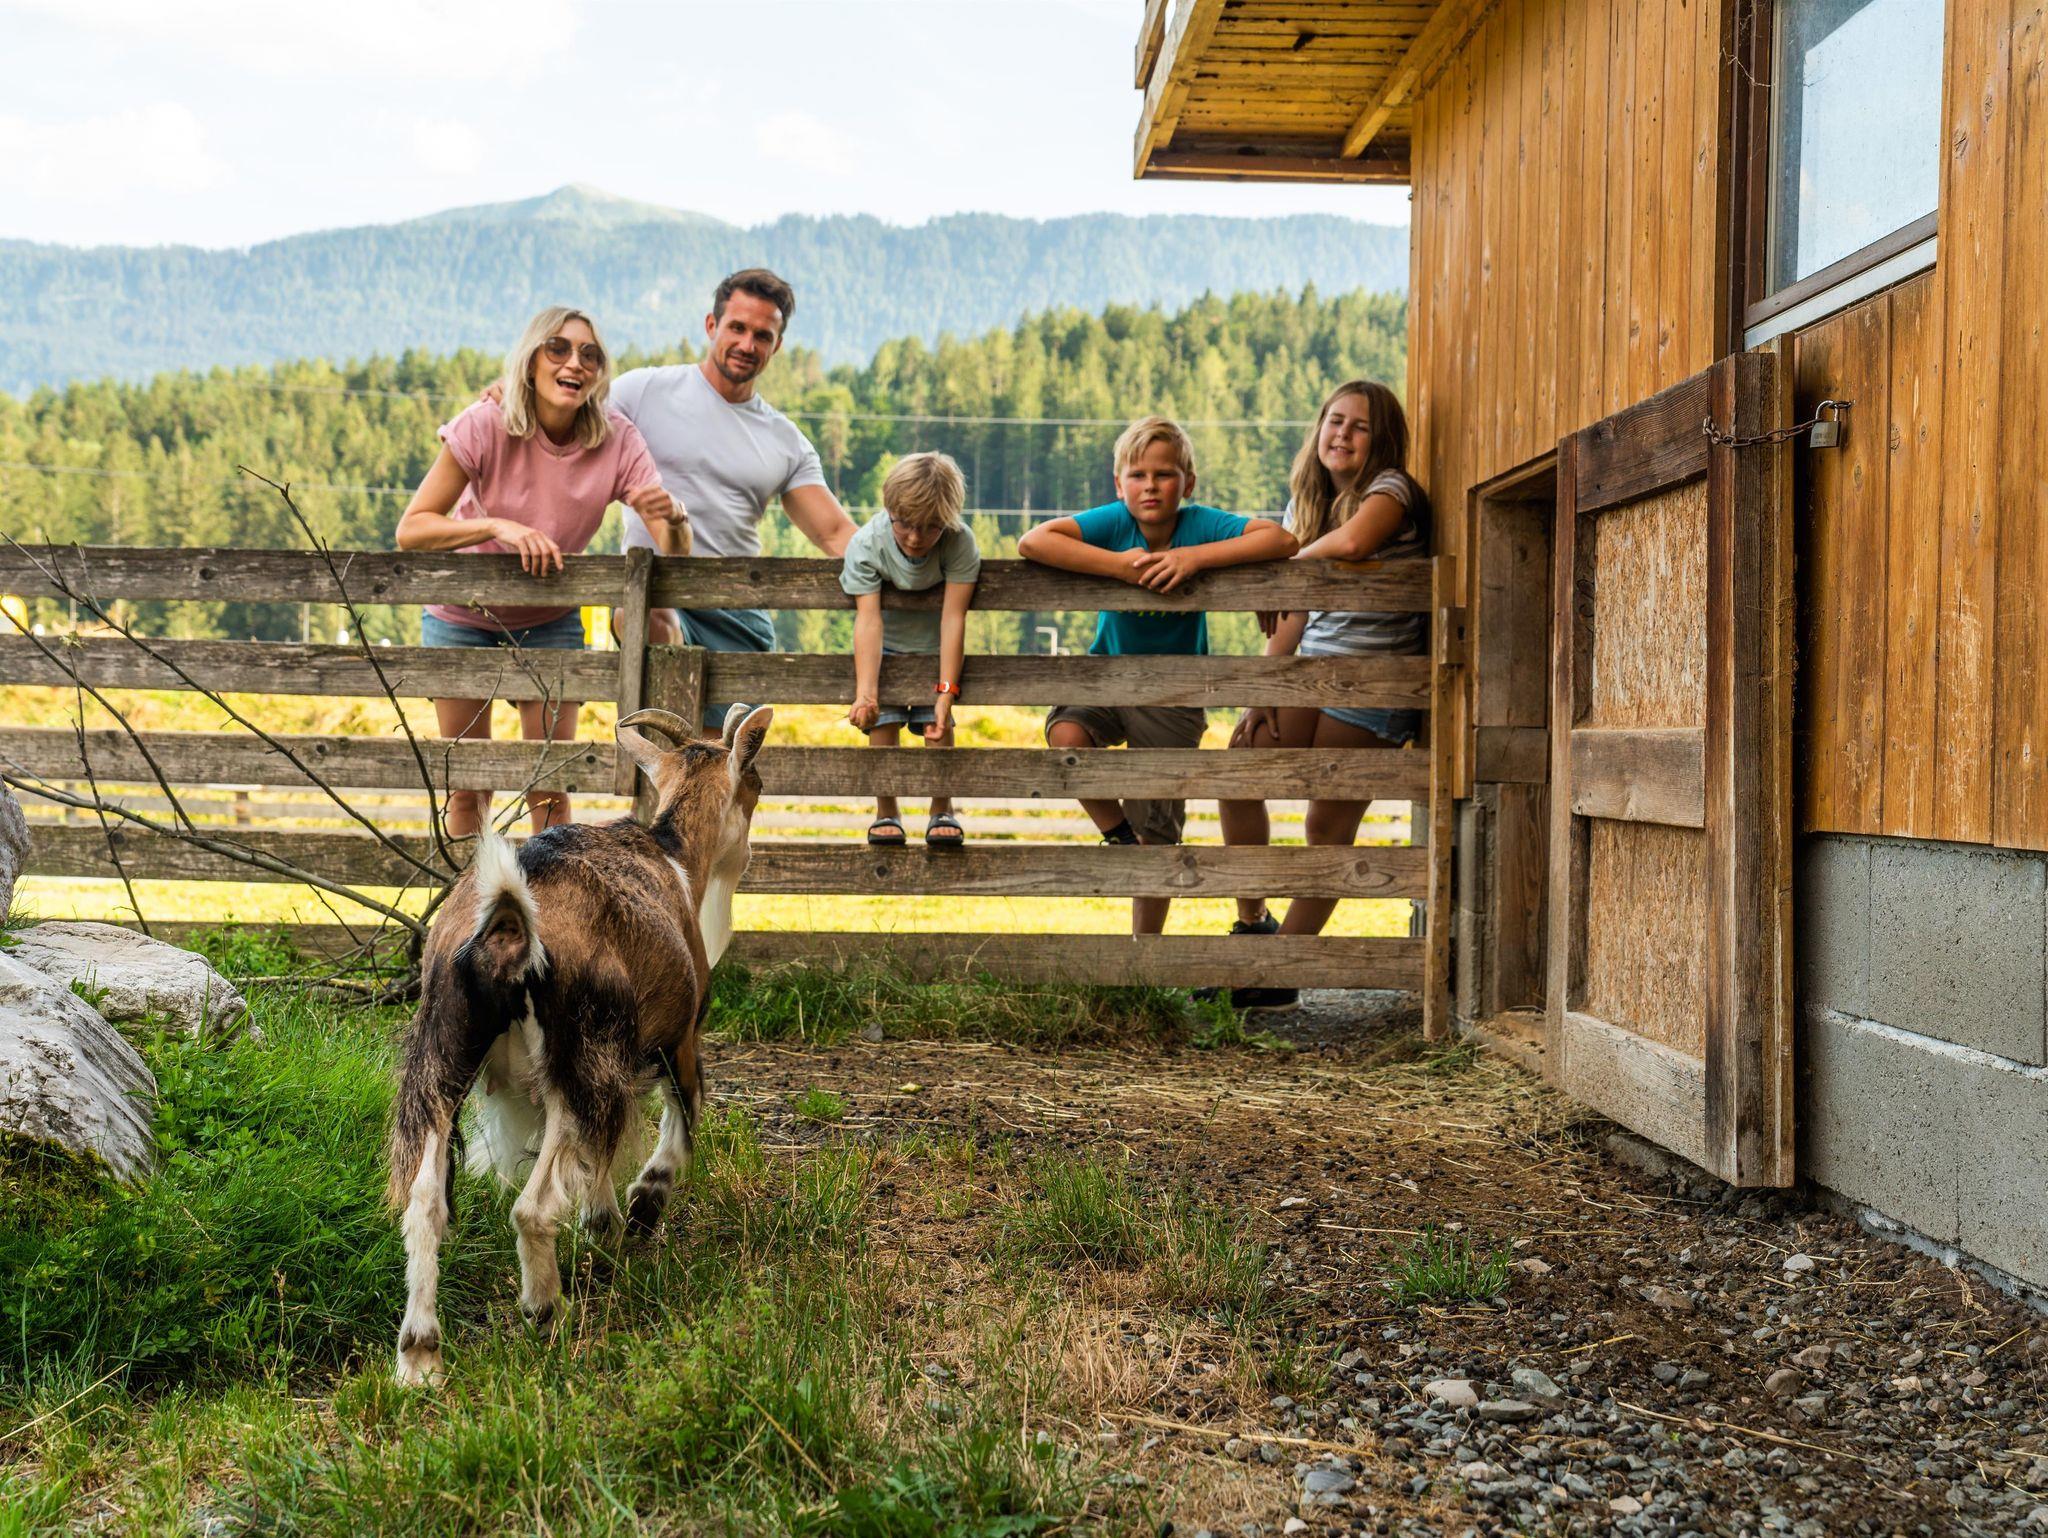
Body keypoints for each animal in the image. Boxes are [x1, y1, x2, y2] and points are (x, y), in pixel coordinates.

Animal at [385, 702, 773, 1387]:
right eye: (753, 784)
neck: (673, 857)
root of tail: (507, 926)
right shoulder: (677, 1038)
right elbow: (683, 1120)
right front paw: (639, 1211)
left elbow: (597, 1164)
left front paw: (606, 1226)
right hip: (579, 1059)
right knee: (533, 1209)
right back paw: (547, 1313)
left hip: (444, 1054)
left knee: (425, 1201)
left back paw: (420, 1357)